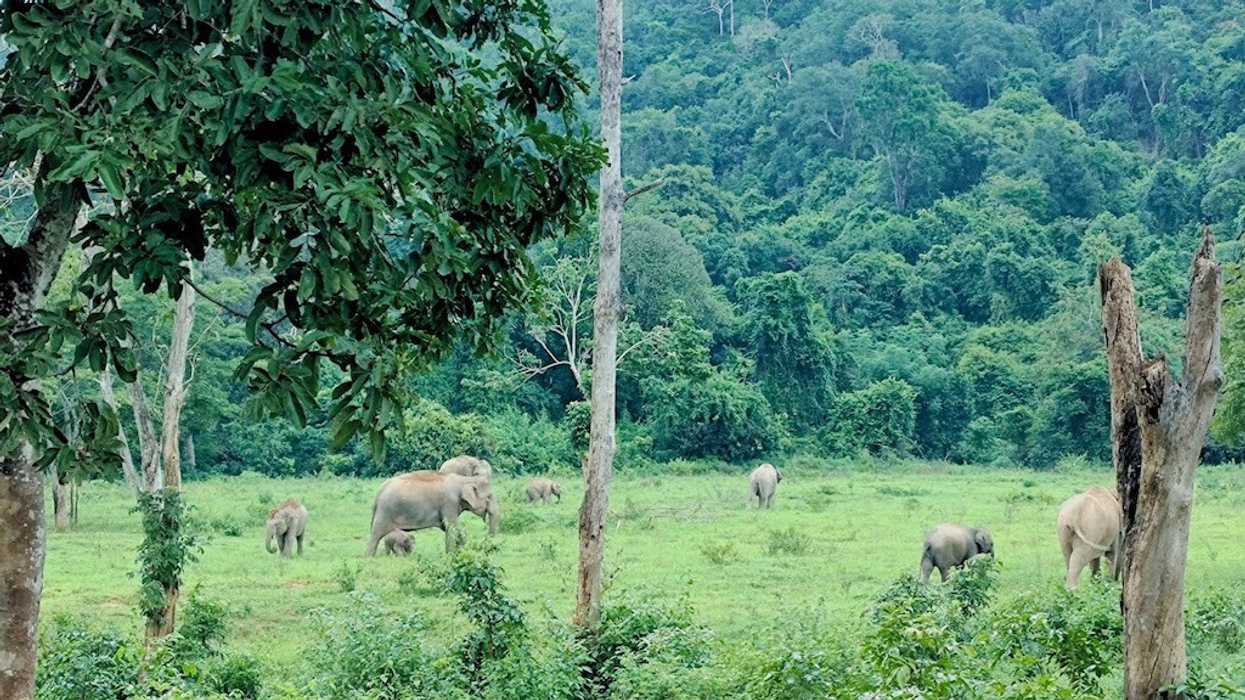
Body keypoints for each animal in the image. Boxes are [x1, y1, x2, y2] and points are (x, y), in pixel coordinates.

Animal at [365, 471, 499, 555]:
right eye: (489, 496)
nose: (485, 548)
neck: (466, 479)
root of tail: (379, 492)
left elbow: (450, 528)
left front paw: (463, 551)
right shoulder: (449, 502)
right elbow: (451, 527)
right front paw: (450, 555)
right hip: (385, 511)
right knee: (375, 535)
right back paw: (369, 557)